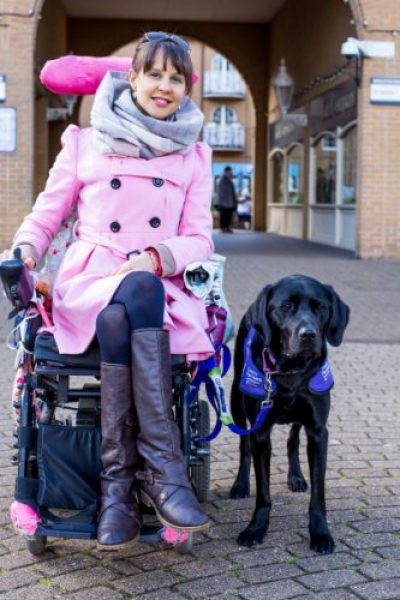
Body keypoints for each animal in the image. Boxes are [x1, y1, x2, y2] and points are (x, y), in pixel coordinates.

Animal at [230, 274, 348, 556]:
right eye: (286, 307)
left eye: (320, 307)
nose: (308, 334)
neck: (291, 371)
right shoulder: (260, 432)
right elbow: (263, 492)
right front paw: (256, 528)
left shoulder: (318, 430)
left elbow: (318, 494)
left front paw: (320, 533)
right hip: (236, 401)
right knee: (243, 445)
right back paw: (240, 484)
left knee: (292, 439)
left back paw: (296, 477)